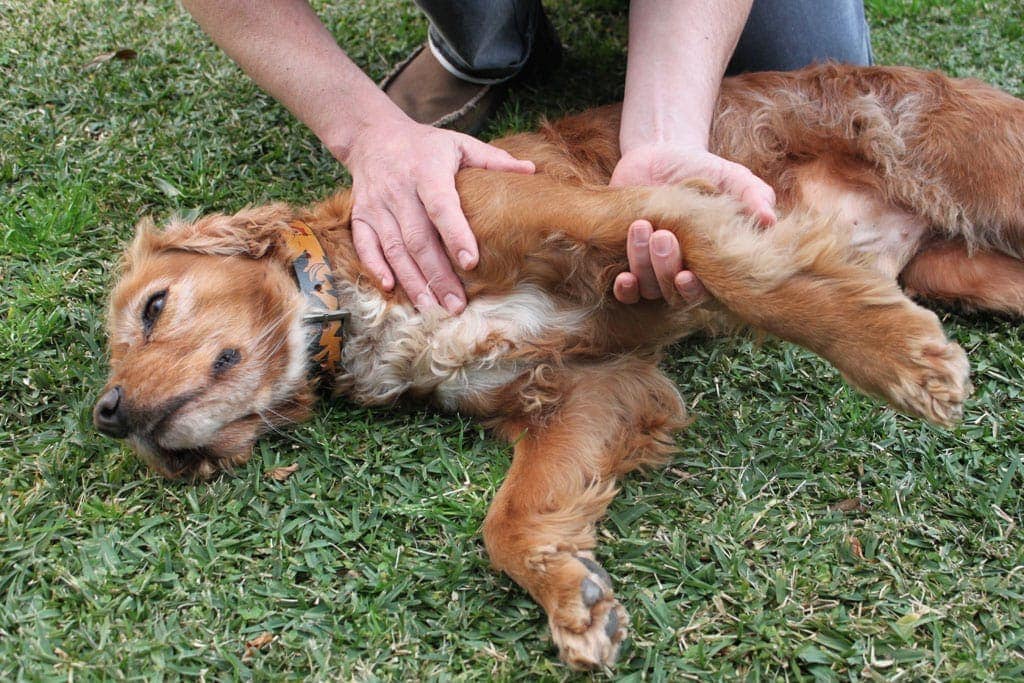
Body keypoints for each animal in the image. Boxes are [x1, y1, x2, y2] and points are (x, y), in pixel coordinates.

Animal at [92, 65, 1019, 671]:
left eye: (153, 308)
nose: (107, 412)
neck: (364, 297)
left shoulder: (630, 212)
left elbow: (762, 285)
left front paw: (898, 359)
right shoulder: (587, 384)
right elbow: (510, 517)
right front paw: (570, 590)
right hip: (974, 272)